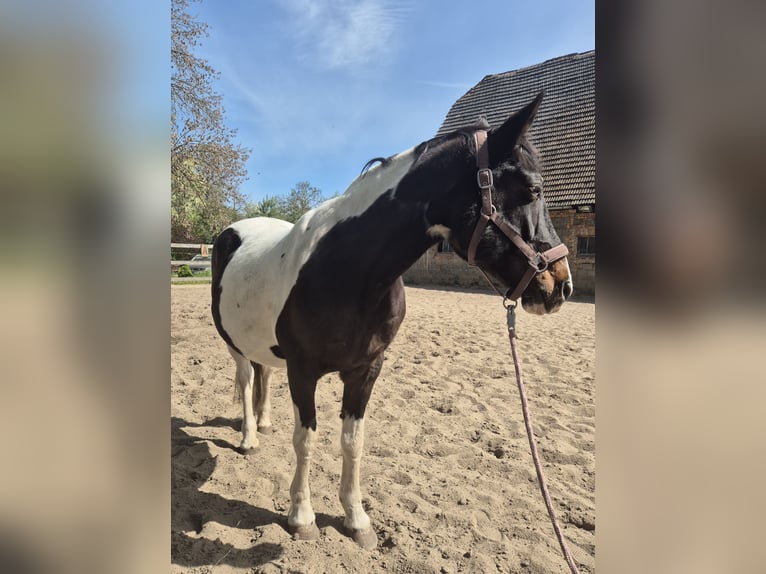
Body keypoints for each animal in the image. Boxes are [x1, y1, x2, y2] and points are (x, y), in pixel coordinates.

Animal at [210, 93, 573, 549]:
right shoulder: (303, 371)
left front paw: (356, 519)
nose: (560, 285)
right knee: (245, 381)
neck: (347, 269)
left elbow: (353, 441)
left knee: (263, 374)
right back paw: (248, 437)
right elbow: (306, 439)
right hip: (233, 344)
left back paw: (263, 422)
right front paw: (301, 516)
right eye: (533, 189)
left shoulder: (366, 370)